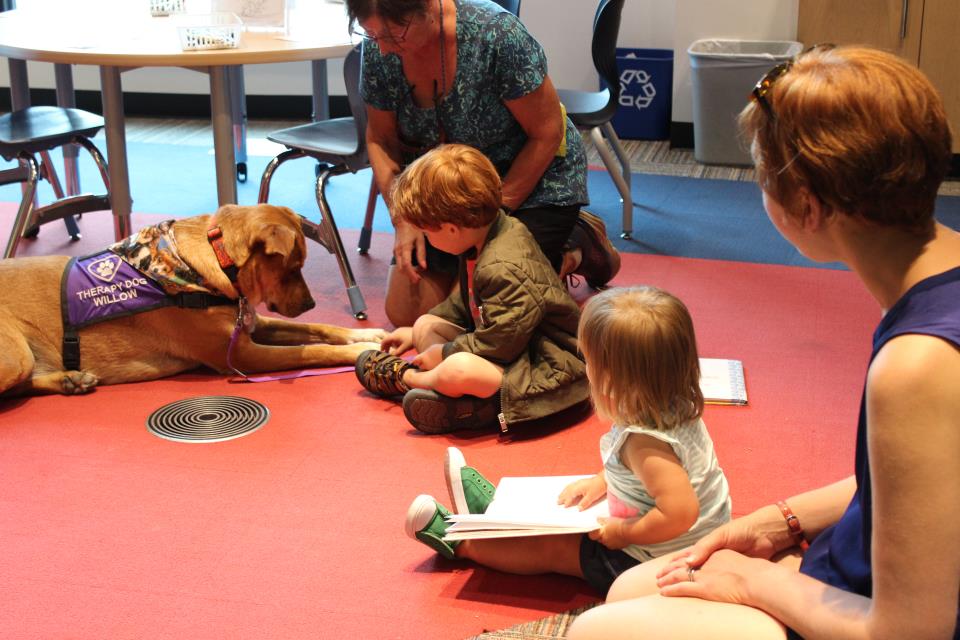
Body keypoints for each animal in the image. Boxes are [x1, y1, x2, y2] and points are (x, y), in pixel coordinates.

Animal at [3, 204, 388, 396]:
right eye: (293, 267)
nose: (309, 303)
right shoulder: (241, 355)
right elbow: (312, 350)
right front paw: (360, 349)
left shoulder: (251, 324)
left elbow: (321, 328)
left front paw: (366, 334)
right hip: (16, 355)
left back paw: (70, 380)